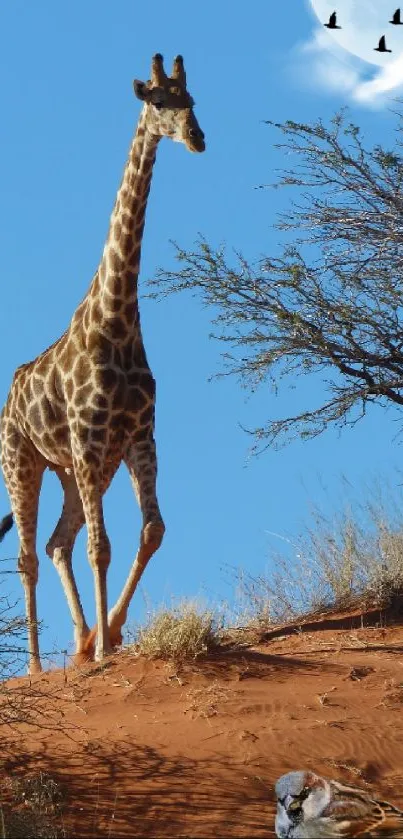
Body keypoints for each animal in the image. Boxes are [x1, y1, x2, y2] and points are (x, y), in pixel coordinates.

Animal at [0, 54, 207, 676]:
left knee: (56, 543)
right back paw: (37, 667)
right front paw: (101, 649)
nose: (198, 138)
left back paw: (81, 640)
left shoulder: (137, 436)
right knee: (29, 554)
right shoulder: (91, 440)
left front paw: (108, 636)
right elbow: (103, 545)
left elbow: (152, 530)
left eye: (193, 100)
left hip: (73, 469)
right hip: (23, 463)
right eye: (159, 101)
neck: (115, 320)